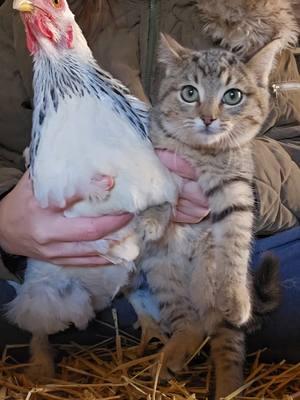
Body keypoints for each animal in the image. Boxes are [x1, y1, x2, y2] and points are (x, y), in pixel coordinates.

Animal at [138, 35, 282, 400]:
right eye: (190, 92)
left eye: (232, 96)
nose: (207, 118)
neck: (201, 154)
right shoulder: (161, 158)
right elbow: (160, 186)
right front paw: (153, 218)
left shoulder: (237, 192)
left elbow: (235, 246)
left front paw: (237, 296)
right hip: (163, 275)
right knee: (190, 325)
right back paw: (170, 357)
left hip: (212, 291)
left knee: (226, 346)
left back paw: (229, 387)